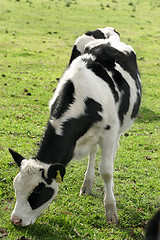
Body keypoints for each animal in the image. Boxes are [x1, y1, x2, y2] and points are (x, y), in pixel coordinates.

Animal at [8, 27, 141, 226]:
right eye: (17, 187)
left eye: (37, 192)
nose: (16, 220)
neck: (82, 96)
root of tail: (107, 34)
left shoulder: (109, 132)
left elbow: (106, 172)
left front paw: (111, 210)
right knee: (93, 152)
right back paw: (87, 184)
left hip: (120, 125)